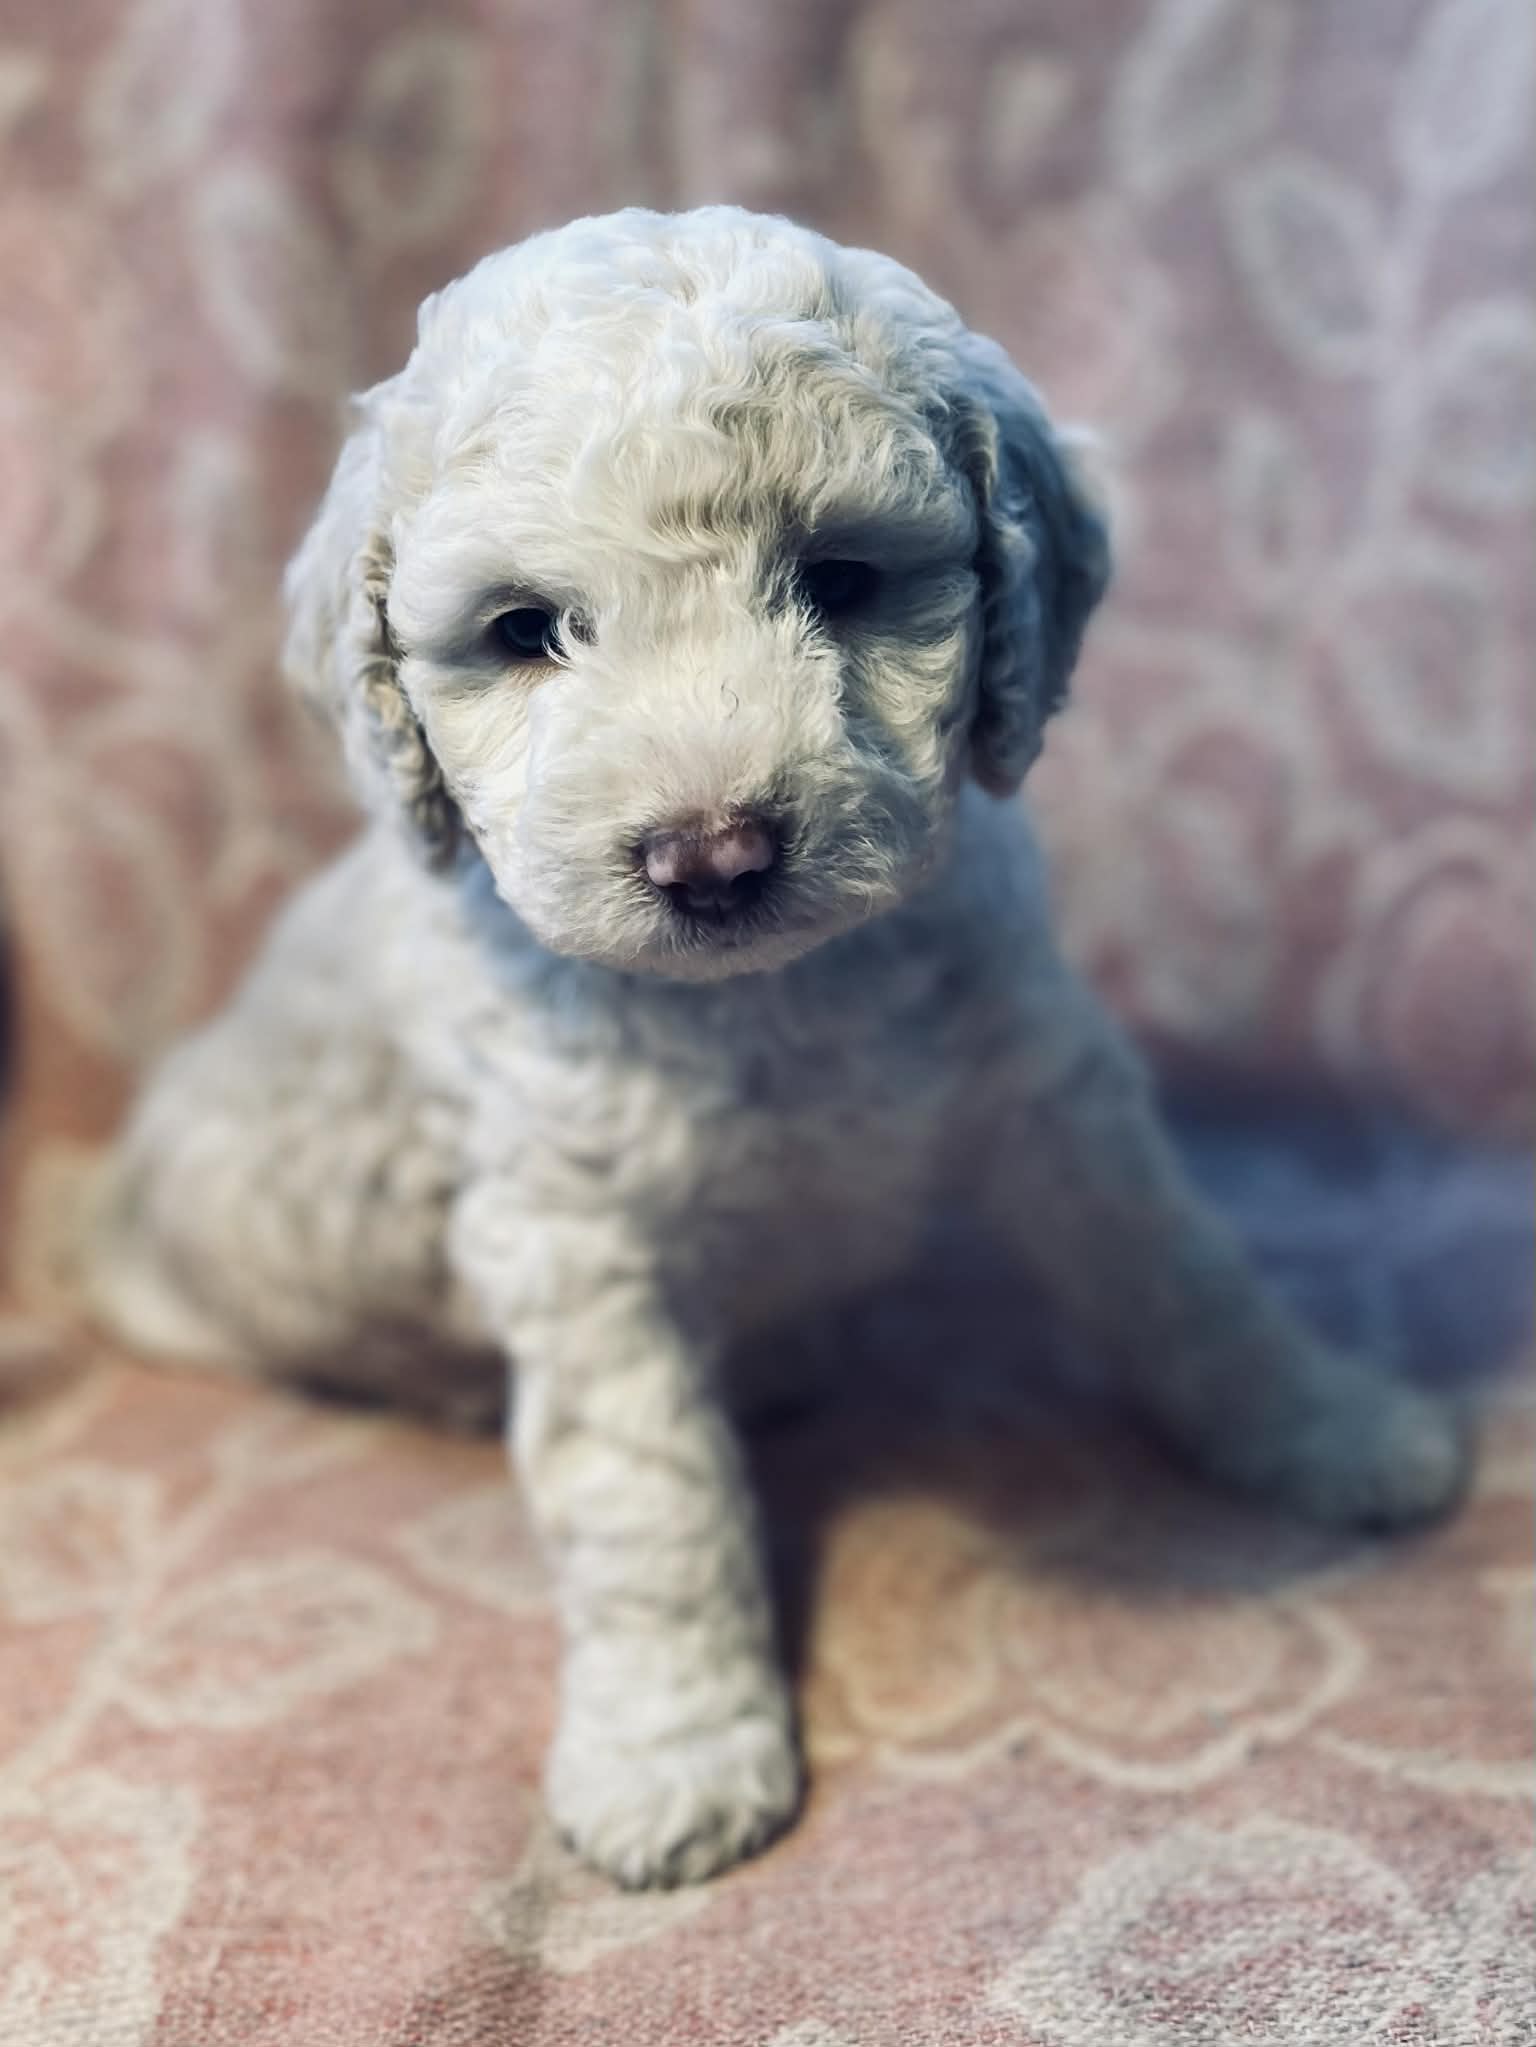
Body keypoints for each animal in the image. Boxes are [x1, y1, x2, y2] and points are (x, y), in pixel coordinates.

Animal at [90, 206, 1469, 1888]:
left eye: (842, 578)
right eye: (524, 630)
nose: (713, 855)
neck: (769, 996)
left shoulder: (1053, 1094)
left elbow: (1189, 1279)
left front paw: (1330, 1423)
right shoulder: (579, 1240)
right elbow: (650, 1494)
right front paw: (673, 1750)